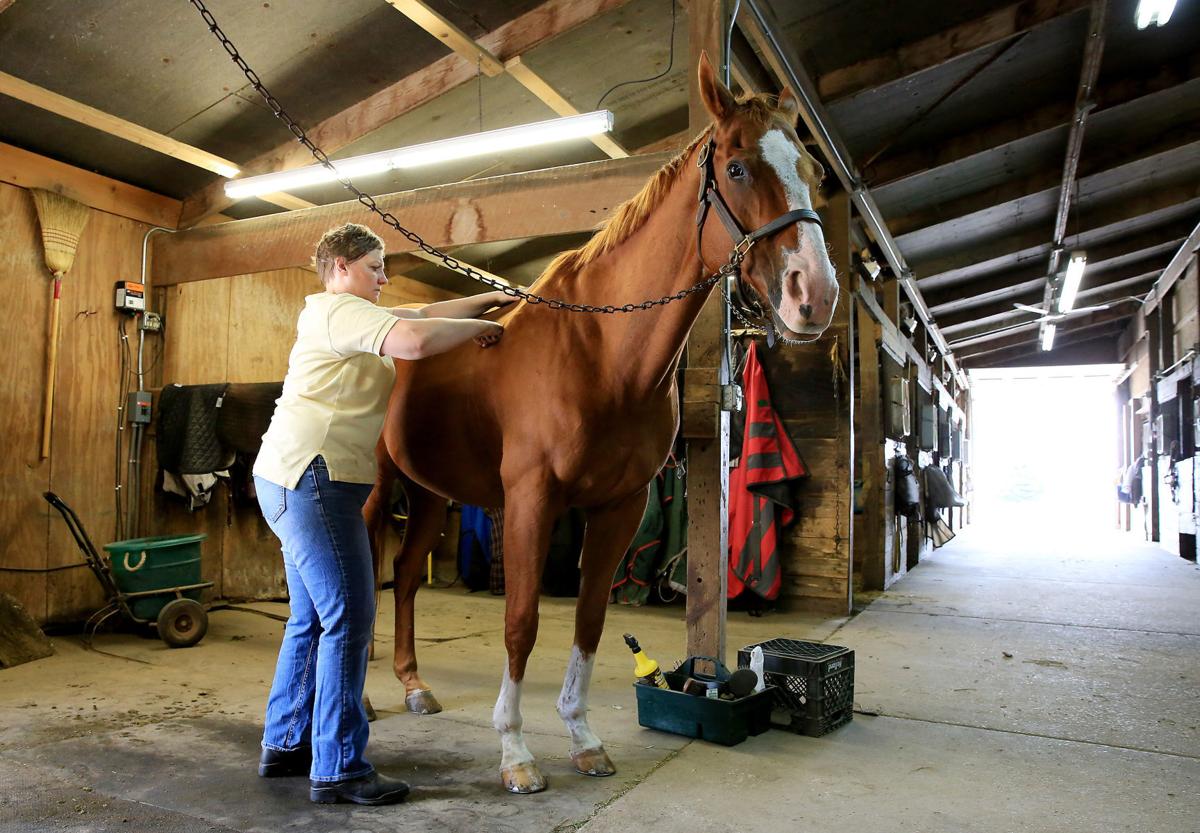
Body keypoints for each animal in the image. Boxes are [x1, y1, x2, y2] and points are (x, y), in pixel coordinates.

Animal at [364, 54, 839, 794]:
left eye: (812, 171)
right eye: (737, 167)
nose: (813, 295)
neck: (599, 354)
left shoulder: (620, 506)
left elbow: (588, 619)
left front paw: (582, 738)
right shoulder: (531, 500)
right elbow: (522, 621)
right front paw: (516, 752)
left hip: (434, 494)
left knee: (408, 574)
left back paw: (414, 685)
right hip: (379, 484)